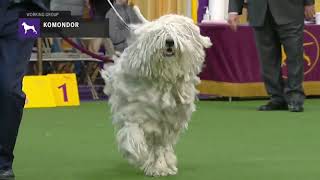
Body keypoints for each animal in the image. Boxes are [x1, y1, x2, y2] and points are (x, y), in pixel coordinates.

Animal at [102, 14, 212, 177]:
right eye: (159, 34)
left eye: (177, 33)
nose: (170, 41)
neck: (163, 79)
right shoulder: (134, 110)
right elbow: (133, 130)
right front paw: (136, 151)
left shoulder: (167, 123)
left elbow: (160, 146)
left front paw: (159, 167)